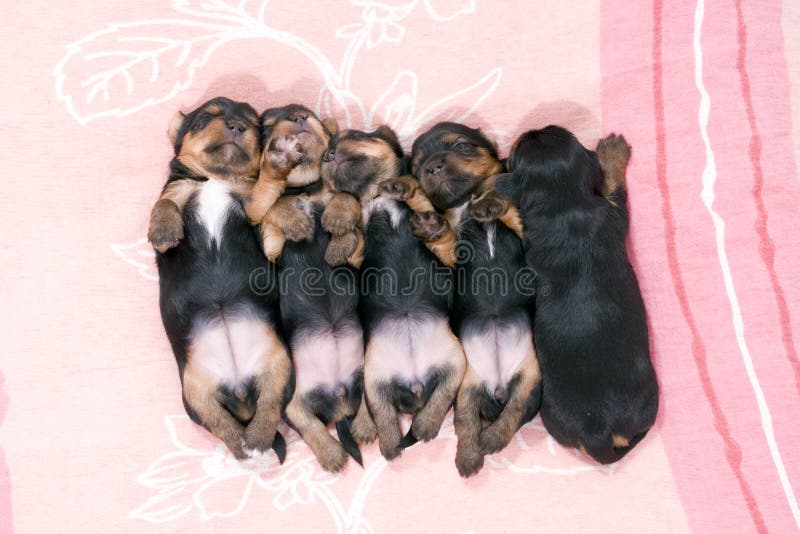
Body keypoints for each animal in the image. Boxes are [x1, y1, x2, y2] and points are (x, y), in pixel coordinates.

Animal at [148, 97, 290, 464]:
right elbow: (164, 201)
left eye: (253, 125)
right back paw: (242, 446)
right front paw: (164, 231)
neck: (214, 180)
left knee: (270, 407)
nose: (237, 126)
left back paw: (256, 441)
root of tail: (238, 387)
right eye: (206, 118)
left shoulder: (249, 202)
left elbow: (267, 197)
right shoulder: (179, 189)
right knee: (220, 424)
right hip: (193, 392)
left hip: (280, 365)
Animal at [320, 127, 468, 462]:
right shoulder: (357, 258)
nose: (327, 154)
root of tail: (414, 385)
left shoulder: (437, 230)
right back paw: (390, 444)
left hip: (456, 362)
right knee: (384, 415)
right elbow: (347, 201)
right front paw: (338, 231)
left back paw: (424, 426)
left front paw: (404, 187)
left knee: (441, 397)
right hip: (374, 379)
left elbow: (421, 198)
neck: (377, 197)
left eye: (353, 135)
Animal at [382, 123, 544, 480]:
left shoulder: (524, 236)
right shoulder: (453, 259)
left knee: (515, 411)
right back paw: (472, 456)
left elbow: (508, 206)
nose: (432, 167)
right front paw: (414, 200)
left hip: (531, 381)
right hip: (467, 391)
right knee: (469, 423)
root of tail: (497, 387)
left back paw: (490, 439)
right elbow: (442, 235)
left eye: (459, 145)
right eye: (417, 166)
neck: (464, 203)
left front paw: (492, 201)